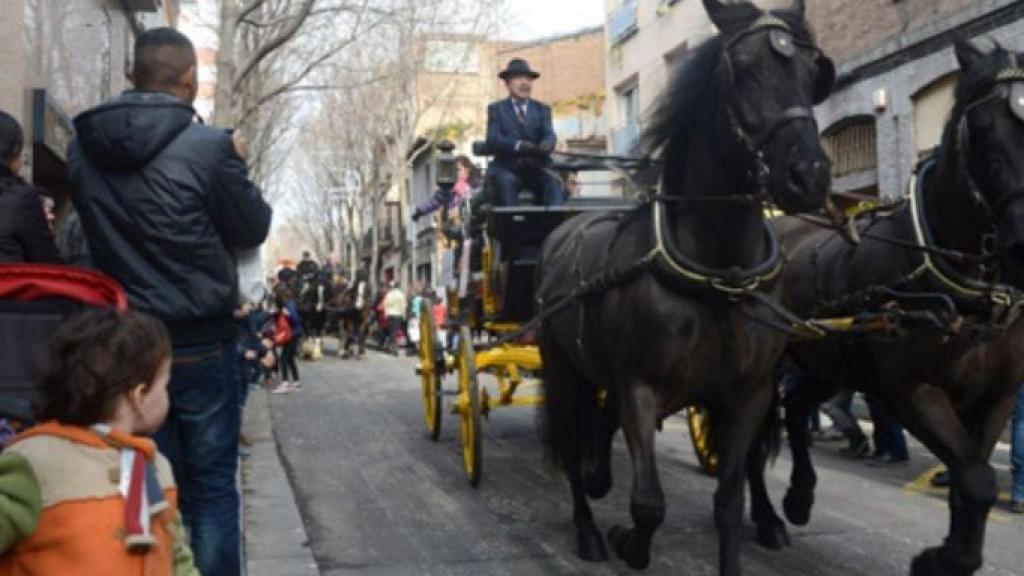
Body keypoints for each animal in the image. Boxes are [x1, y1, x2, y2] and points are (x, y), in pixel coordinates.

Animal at [536, 2, 831, 569]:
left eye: (813, 75)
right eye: (743, 71)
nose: (809, 176)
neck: (719, 274)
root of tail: (566, 227)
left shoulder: (750, 395)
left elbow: (728, 501)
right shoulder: (639, 387)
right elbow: (649, 504)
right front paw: (627, 540)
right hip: (562, 366)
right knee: (569, 441)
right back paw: (588, 527)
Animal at [745, 41, 1024, 573]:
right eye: (980, 129)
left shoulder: (995, 395)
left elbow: (970, 480)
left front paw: (953, 552)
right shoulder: (909, 389)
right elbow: (978, 481)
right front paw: (942, 558)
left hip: (829, 360)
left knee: (797, 409)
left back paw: (800, 496)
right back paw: (768, 518)